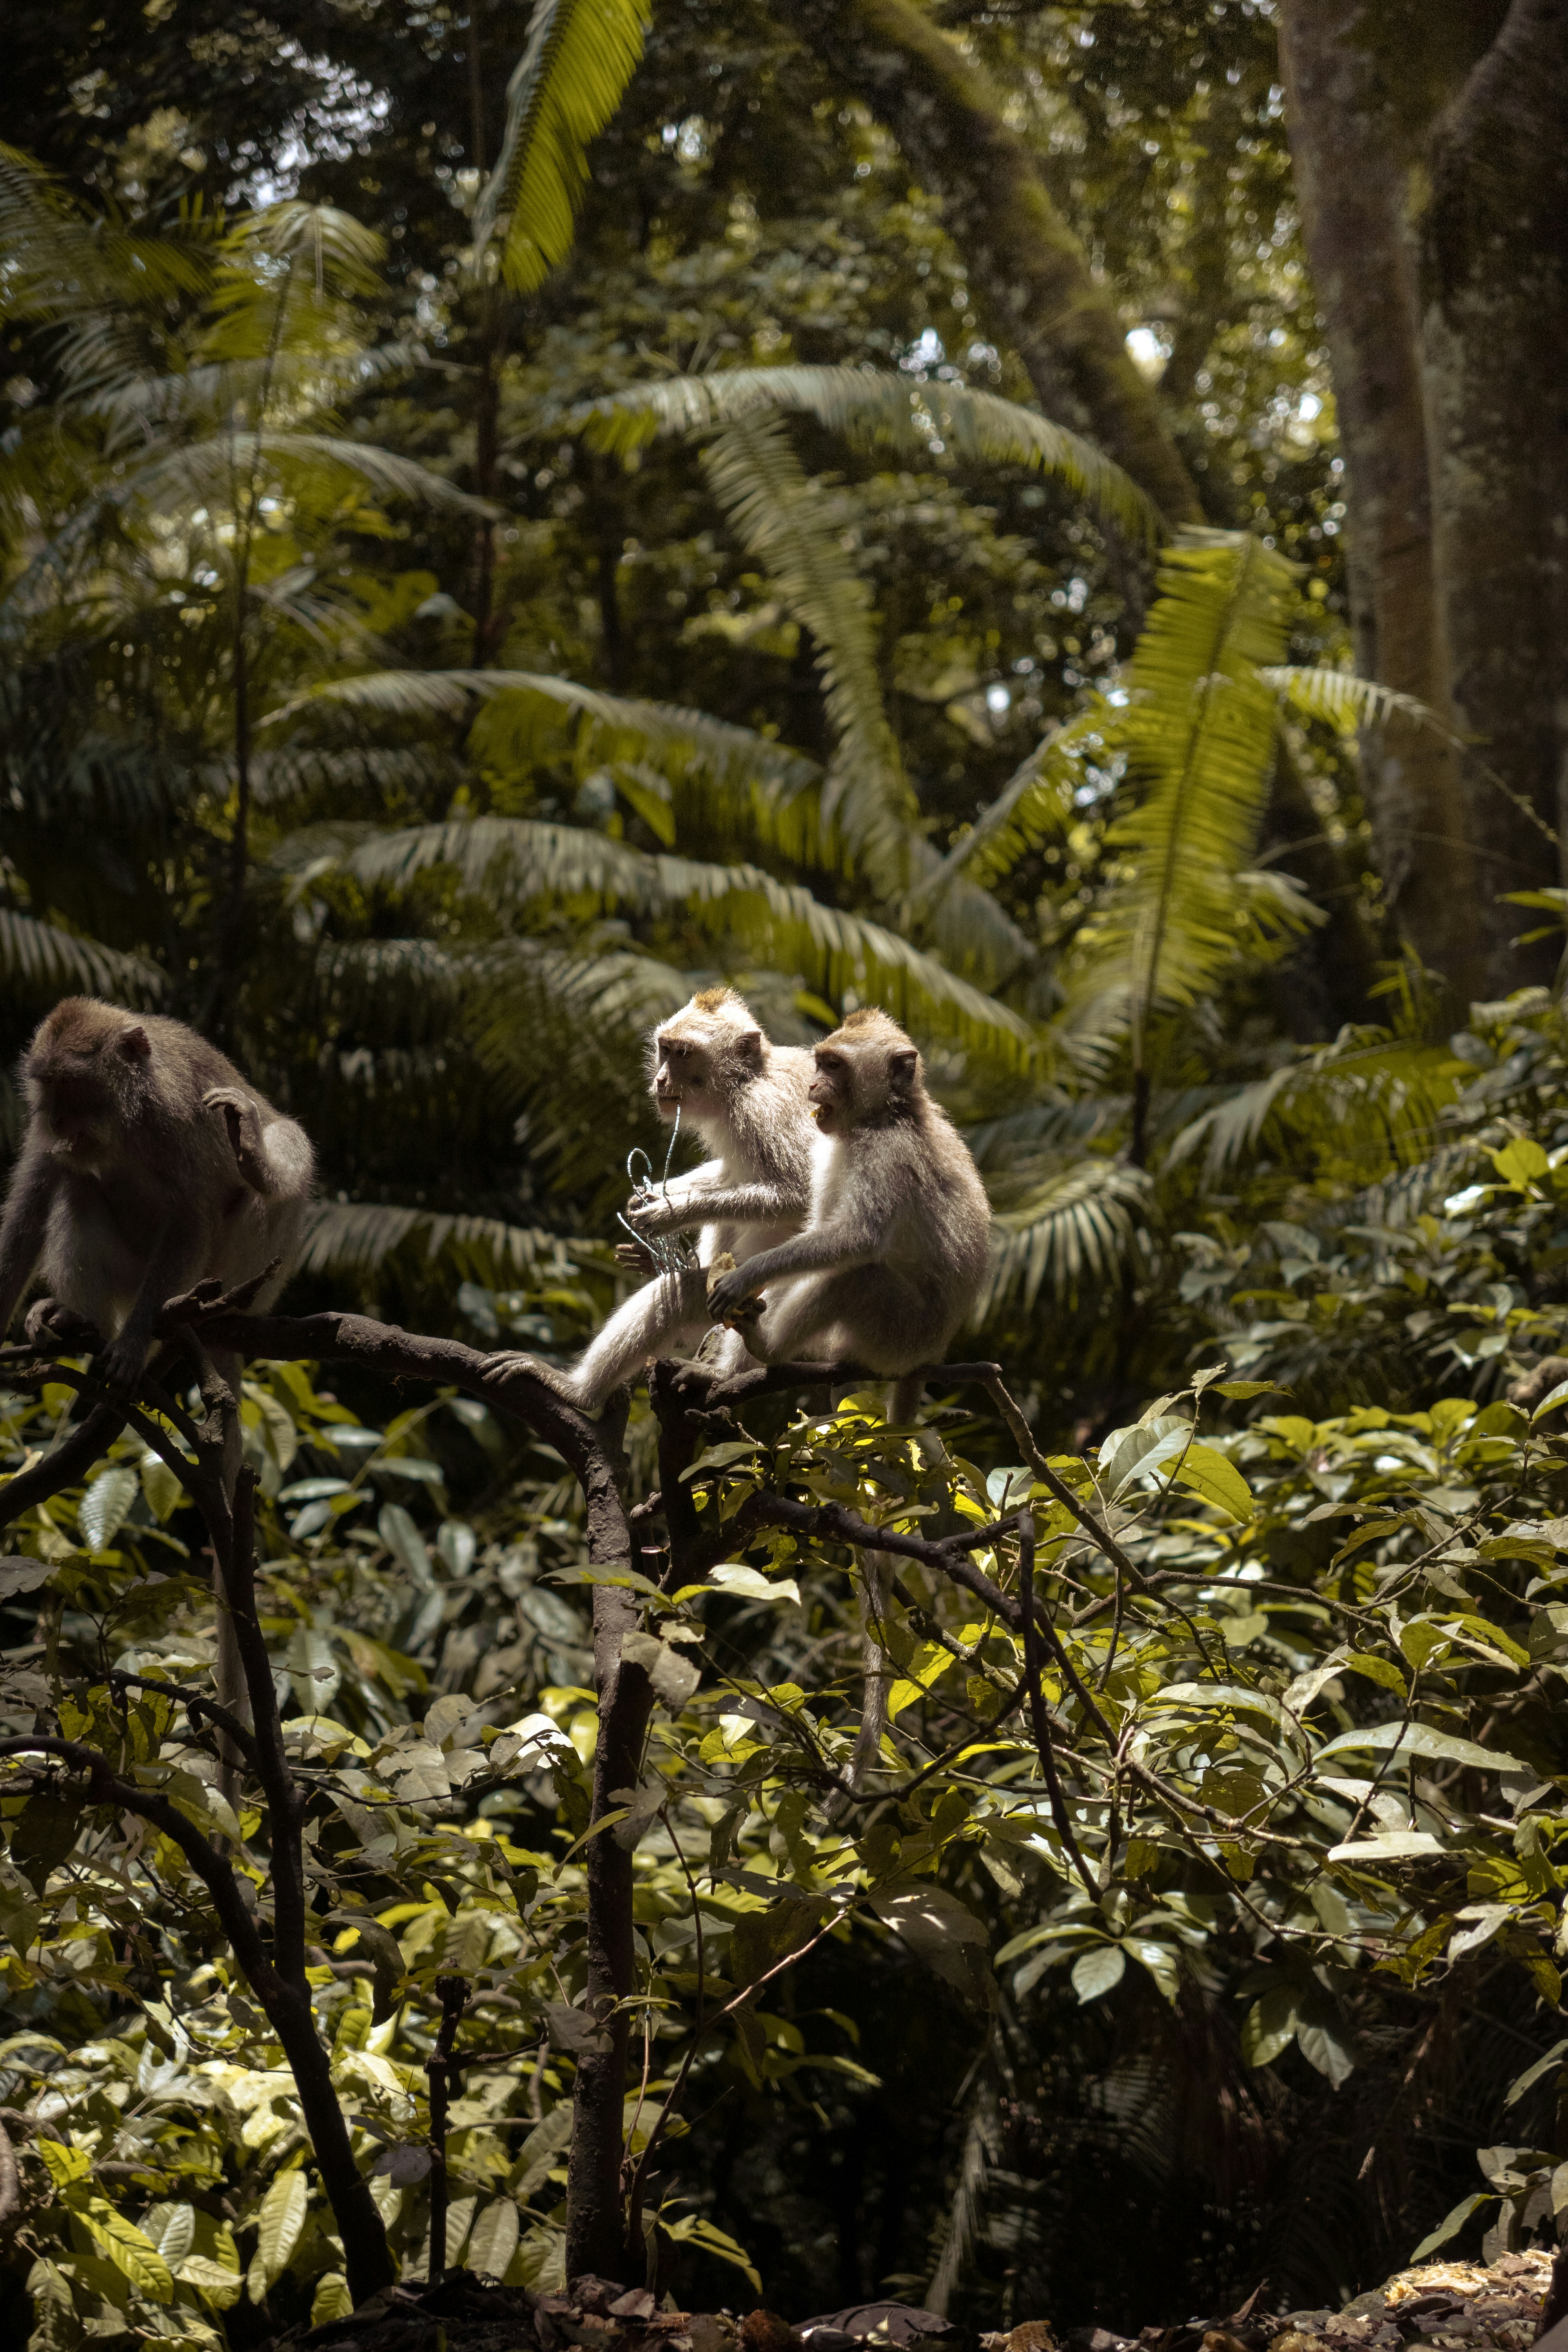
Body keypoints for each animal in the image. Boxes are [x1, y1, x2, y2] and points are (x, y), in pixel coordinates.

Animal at [0, 996, 315, 1793]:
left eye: (76, 1090)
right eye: (47, 1091)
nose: (61, 1124)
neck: (130, 1115)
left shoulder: (179, 1118)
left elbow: (193, 1212)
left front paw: (139, 1338)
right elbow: (33, 1205)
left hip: (249, 1263)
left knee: (276, 1157)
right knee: (79, 1189)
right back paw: (78, 1321)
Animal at [488, 987, 816, 1414]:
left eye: (683, 1053)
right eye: (665, 1050)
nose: (660, 1079)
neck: (744, 1082)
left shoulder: (763, 1111)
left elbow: (799, 1194)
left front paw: (668, 1215)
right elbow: (729, 1175)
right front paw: (651, 1197)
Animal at [704, 1006, 993, 1797]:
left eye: (831, 1065)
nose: (812, 1088)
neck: (886, 1117)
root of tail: (928, 1354)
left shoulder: (881, 1158)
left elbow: (847, 1239)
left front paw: (749, 1281)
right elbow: (818, 1226)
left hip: (892, 1328)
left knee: (856, 1276)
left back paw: (769, 1350)